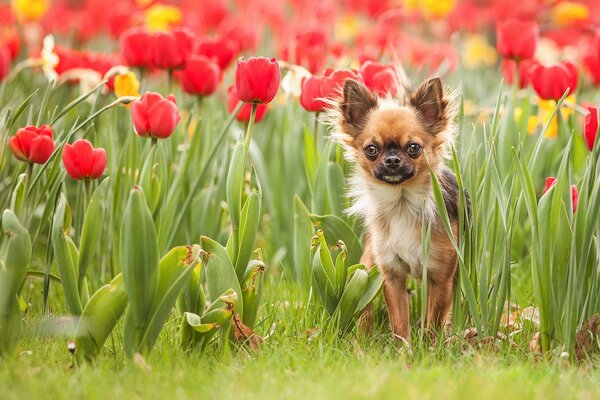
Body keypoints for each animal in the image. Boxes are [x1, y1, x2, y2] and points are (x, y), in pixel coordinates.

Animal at [330, 76, 462, 340]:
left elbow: (433, 320)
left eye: (414, 148)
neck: (402, 204)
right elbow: (399, 320)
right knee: (365, 306)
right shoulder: (391, 276)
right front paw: (404, 346)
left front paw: (429, 344)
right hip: (368, 267)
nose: (392, 160)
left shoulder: (440, 279)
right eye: (371, 149)